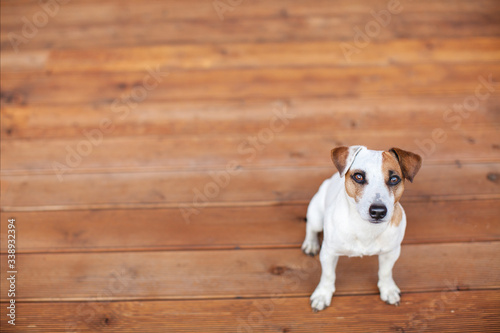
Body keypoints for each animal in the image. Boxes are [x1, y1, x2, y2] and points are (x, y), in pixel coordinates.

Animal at [300, 145, 422, 312]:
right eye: (358, 177)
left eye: (394, 179)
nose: (378, 211)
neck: (366, 228)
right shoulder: (328, 253)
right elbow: (328, 275)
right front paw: (322, 295)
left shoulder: (391, 252)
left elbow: (385, 272)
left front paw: (388, 289)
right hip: (316, 215)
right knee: (311, 227)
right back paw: (311, 244)